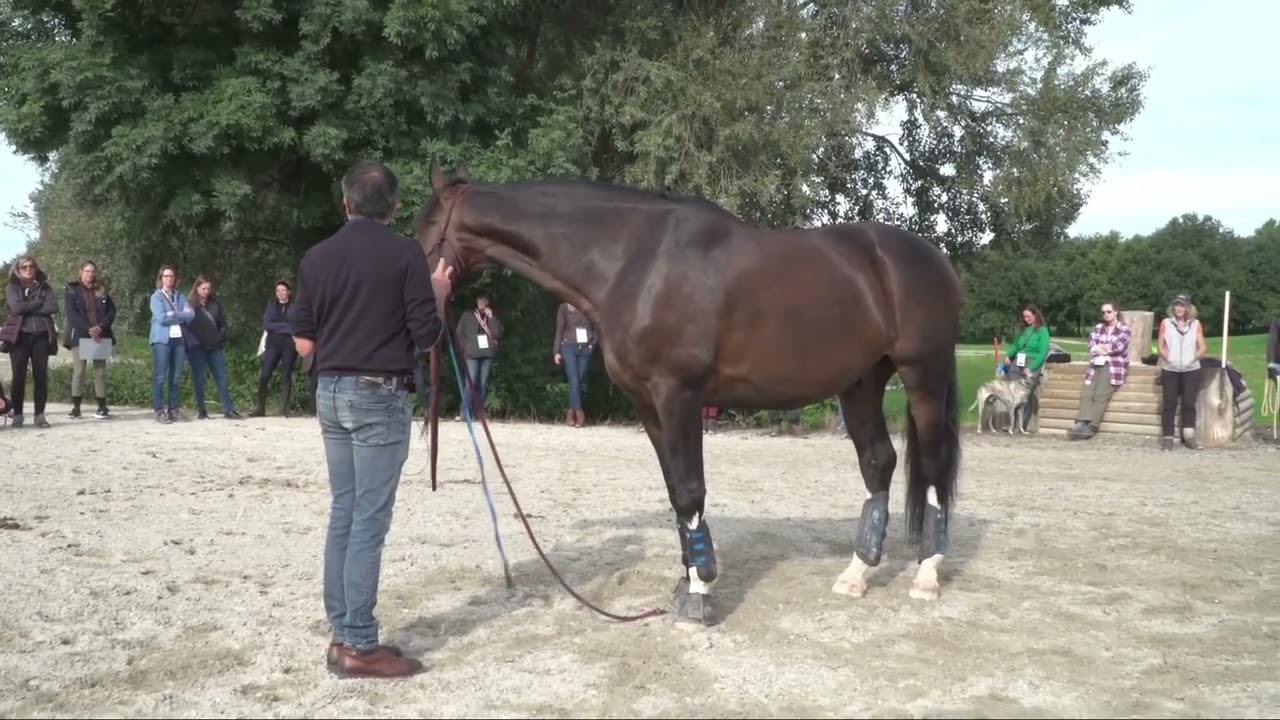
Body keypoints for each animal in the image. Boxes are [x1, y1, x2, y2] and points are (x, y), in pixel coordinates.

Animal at [414, 160, 963, 626]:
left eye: (425, 228)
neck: (632, 262)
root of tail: (932, 256)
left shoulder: (679, 394)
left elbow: (692, 489)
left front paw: (699, 595)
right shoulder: (649, 405)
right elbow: (676, 492)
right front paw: (685, 584)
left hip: (924, 375)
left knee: (935, 467)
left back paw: (927, 574)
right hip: (862, 382)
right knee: (878, 462)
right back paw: (856, 573)